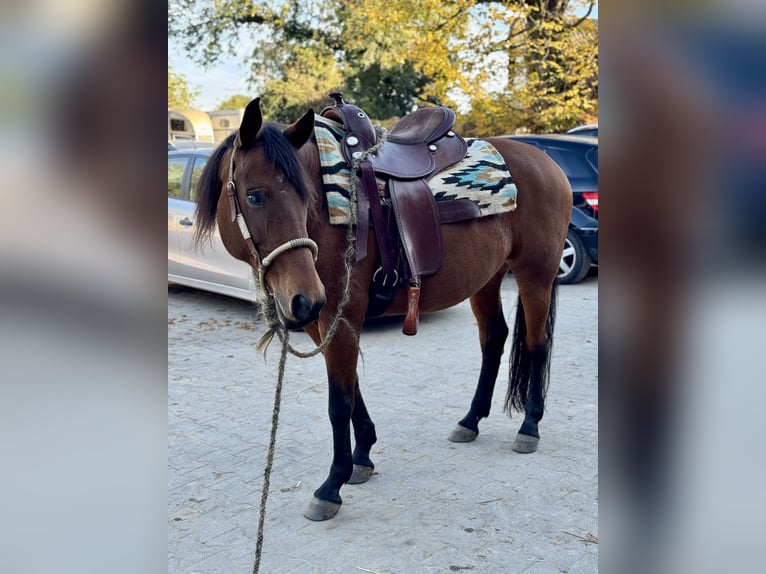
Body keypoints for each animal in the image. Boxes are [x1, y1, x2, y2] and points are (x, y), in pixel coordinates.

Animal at [193, 97, 572, 521]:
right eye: (255, 196)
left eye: (304, 196)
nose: (305, 297)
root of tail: (548, 162)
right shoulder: (323, 321)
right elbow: (351, 386)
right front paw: (363, 457)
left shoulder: (339, 314)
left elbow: (338, 402)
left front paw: (332, 485)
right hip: (487, 279)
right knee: (494, 340)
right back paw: (470, 420)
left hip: (535, 275)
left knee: (537, 345)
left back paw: (529, 427)